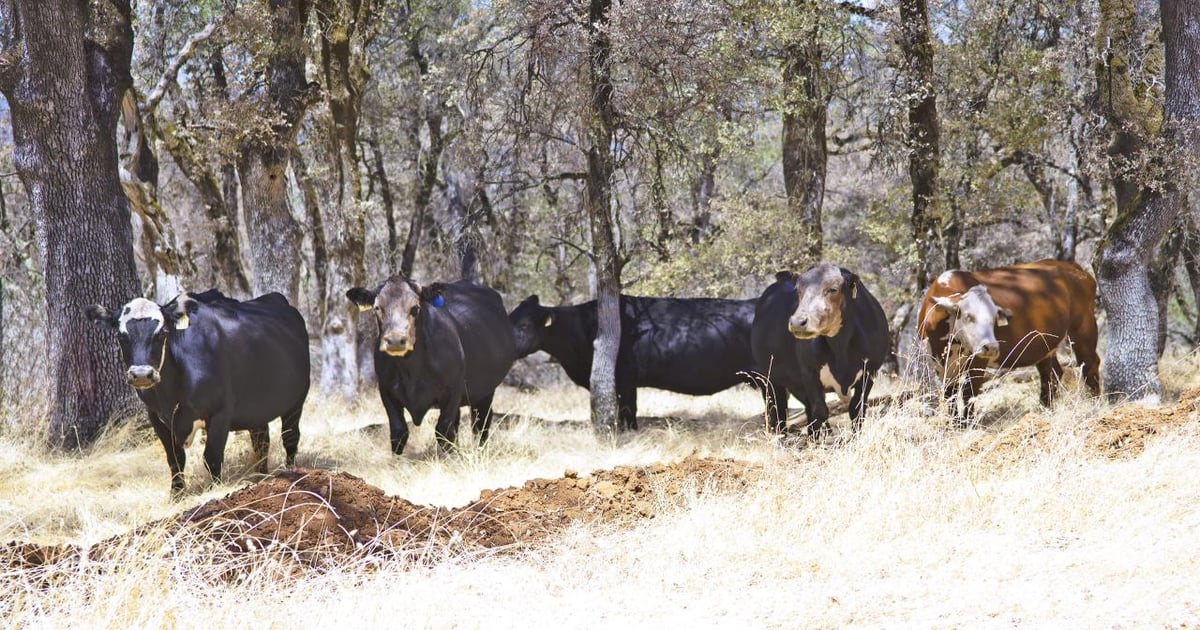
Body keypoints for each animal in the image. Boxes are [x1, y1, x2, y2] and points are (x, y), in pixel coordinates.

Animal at [85, 290, 309, 495]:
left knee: (290, 438)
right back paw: (260, 476)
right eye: (120, 336)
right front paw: (176, 495)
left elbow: (212, 456)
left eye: (162, 333)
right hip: (255, 410)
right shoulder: (157, 418)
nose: (142, 374)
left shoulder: (220, 413)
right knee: (261, 441)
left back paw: (290, 472)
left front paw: (215, 489)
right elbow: (174, 459)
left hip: (296, 402)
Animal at [347, 277, 515, 455]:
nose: (395, 340)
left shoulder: (453, 391)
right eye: (377, 308)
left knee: (481, 422)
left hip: (486, 391)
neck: (411, 372)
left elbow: (443, 431)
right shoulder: (386, 391)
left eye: (415, 308)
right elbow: (399, 431)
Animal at [750, 262, 890, 437]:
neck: (840, 348)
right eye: (798, 289)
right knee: (778, 411)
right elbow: (820, 412)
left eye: (833, 289)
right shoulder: (809, 373)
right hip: (771, 379)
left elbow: (857, 411)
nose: (797, 322)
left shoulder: (869, 372)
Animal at [916, 259, 1101, 422]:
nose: (990, 347)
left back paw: (1095, 404)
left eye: (994, 320)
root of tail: (1073, 267)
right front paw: (954, 423)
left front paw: (967, 423)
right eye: (969, 316)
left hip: (1083, 329)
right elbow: (950, 393)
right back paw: (1045, 408)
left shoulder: (977, 361)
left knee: (1090, 364)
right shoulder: (939, 363)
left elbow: (969, 392)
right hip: (1045, 344)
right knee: (1051, 373)